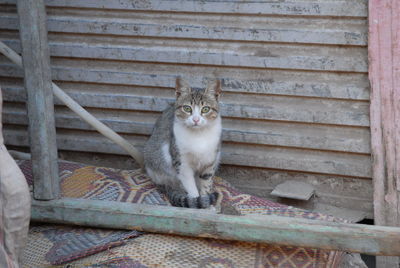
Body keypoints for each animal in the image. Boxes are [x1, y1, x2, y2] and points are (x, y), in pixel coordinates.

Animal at [144, 77, 223, 209]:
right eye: (187, 108)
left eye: (205, 109)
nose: (196, 119)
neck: (198, 135)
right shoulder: (182, 164)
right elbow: (190, 187)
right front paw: (196, 202)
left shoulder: (209, 162)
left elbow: (205, 184)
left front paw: (206, 203)